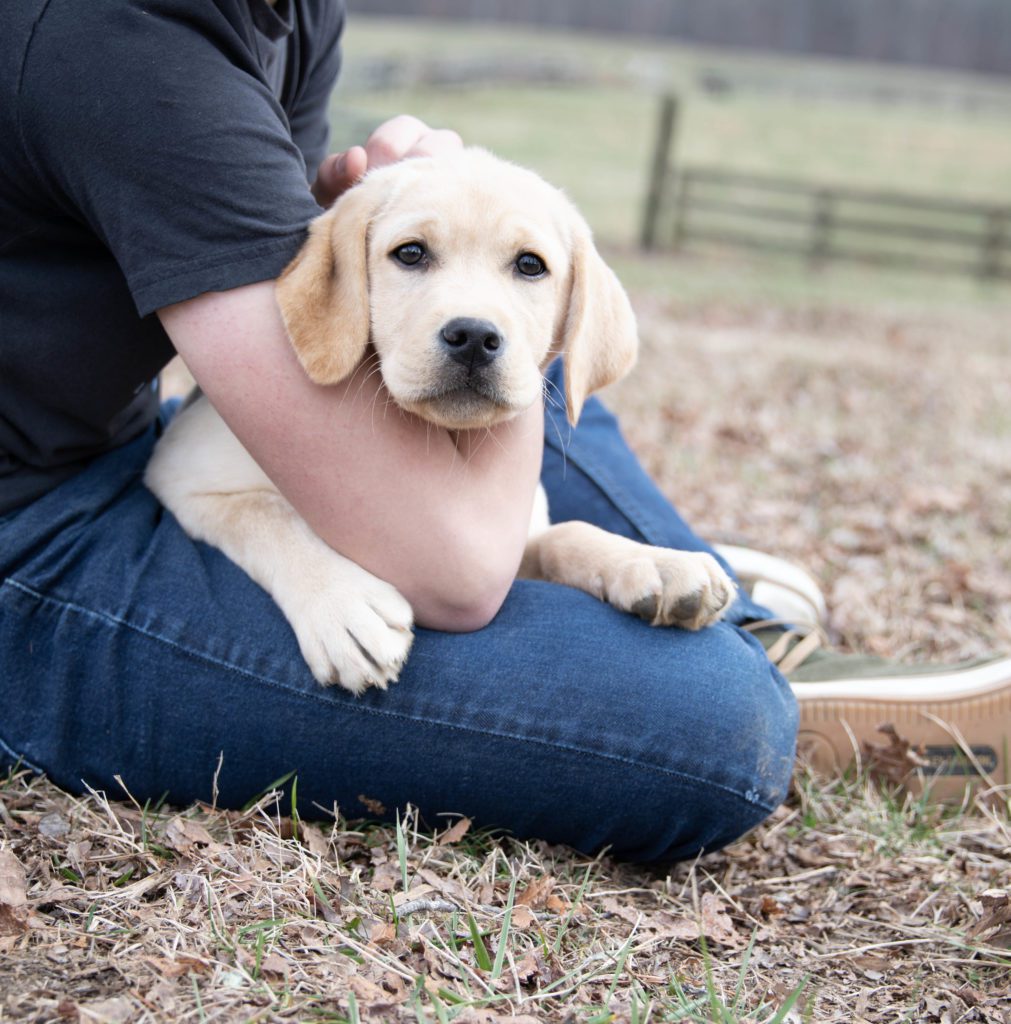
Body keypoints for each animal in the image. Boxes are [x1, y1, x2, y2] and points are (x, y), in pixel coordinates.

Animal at [146, 148, 729, 692]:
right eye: (410, 254)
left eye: (530, 265)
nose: (473, 336)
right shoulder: (182, 473)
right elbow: (266, 514)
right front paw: (342, 604)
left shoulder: (501, 555)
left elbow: (566, 533)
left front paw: (654, 562)